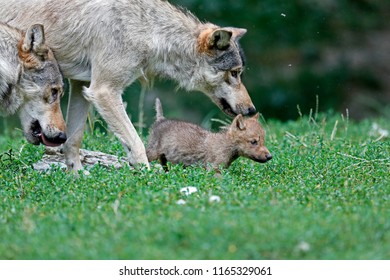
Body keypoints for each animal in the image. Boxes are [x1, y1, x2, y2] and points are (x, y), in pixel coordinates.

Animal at [0, 0, 256, 172]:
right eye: (235, 73)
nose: (252, 110)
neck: (147, 30)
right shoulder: (103, 90)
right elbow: (137, 143)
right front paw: (147, 177)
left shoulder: (82, 85)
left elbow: (73, 141)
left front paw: (76, 178)